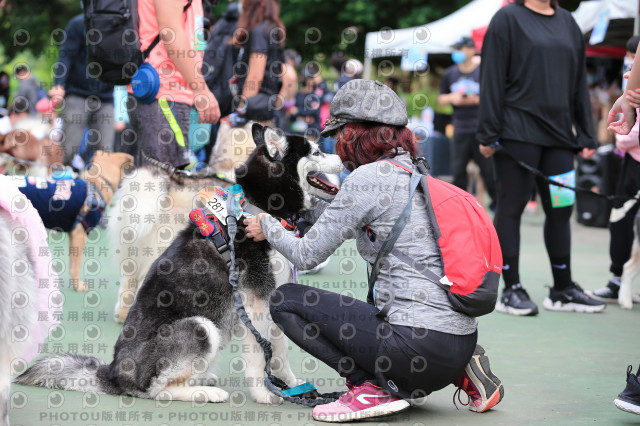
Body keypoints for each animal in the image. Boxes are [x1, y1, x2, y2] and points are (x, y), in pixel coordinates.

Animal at [15, 124, 344, 406]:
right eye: (316, 152)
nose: (343, 159)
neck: (259, 206)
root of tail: (113, 373)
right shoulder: (256, 300)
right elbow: (261, 354)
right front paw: (265, 393)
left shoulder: (270, 297)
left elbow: (280, 350)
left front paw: (293, 385)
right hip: (201, 327)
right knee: (157, 390)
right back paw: (204, 392)